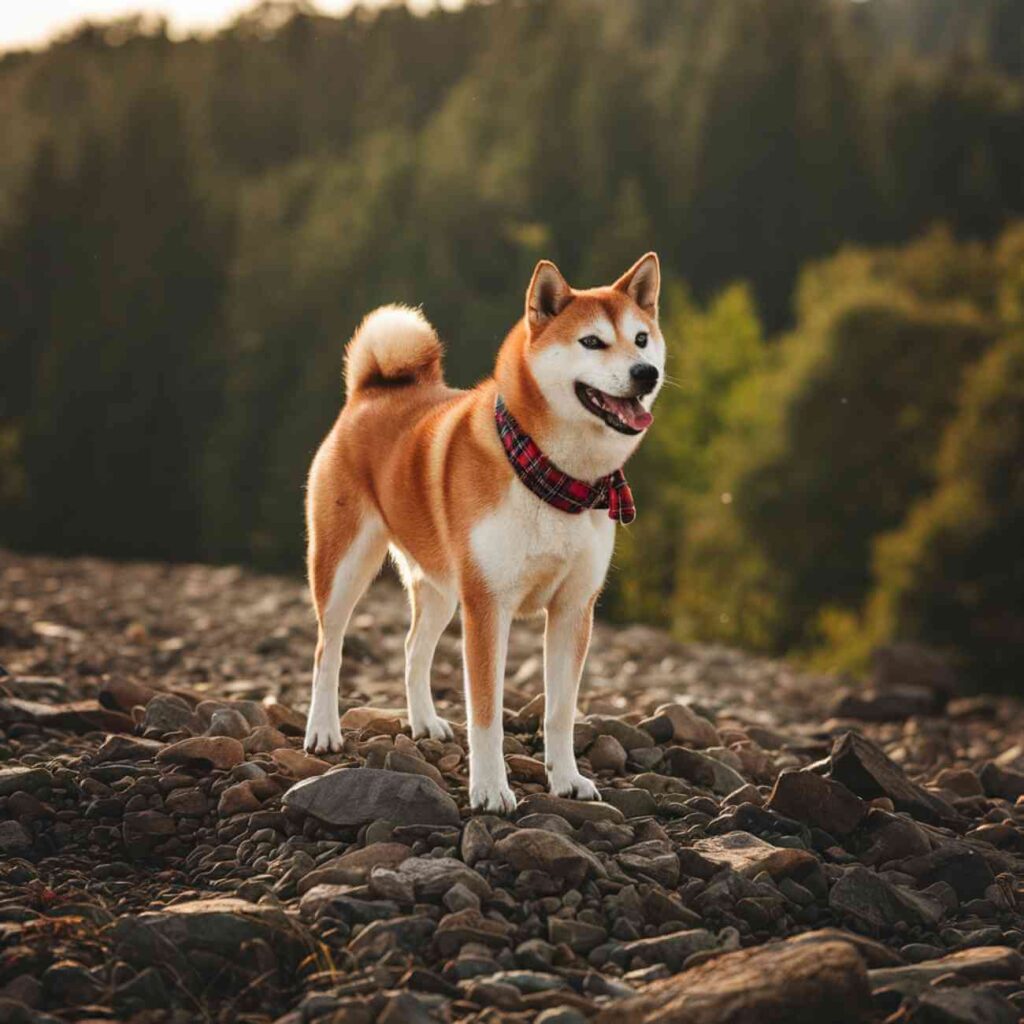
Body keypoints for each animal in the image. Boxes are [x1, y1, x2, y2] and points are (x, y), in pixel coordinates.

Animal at [301, 251, 663, 811]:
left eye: (641, 338)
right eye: (592, 342)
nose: (645, 373)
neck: (554, 478)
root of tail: (369, 393)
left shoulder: (573, 609)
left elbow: (560, 712)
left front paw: (567, 779)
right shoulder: (489, 607)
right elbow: (487, 715)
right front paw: (491, 789)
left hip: (442, 589)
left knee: (413, 650)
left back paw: (424, 722)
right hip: (343, 568)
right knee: (328, 650)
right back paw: (322, 731)